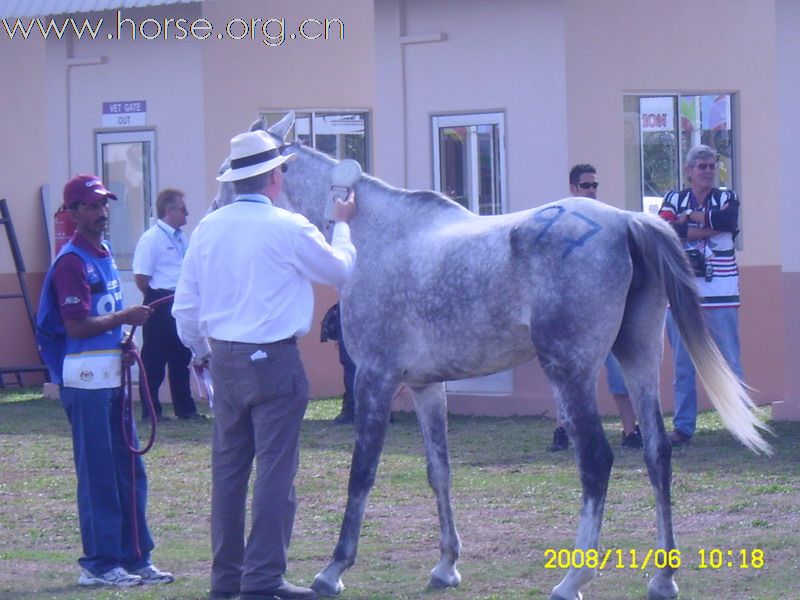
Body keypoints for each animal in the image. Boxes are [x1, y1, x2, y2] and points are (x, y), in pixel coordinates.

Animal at [216, 113, 772, 600]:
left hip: (569, 373)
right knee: (657, 453)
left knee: (596, 460)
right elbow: (438, 470)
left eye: (228, 173)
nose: (216, 210)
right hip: (636, 359)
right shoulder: (425, 386)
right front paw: (445, 565)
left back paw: (573, 579)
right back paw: (663, 578)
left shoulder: (374, 378)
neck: (380, 237)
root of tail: (625, 222)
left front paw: (334, 570)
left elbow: (362, 473)